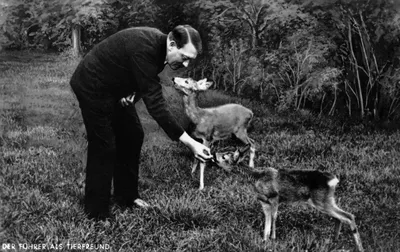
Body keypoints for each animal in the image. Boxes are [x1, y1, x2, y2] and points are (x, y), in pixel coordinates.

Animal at [214, 146, 364, 252]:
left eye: (224, 155)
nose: (214, 154)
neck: (256, 177)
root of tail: (334, 180)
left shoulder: (274, 197)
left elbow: (274, 218)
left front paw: (273, 239)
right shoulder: (264, 202)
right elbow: (266, 223)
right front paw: (264, 241)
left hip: (321, 200)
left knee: (349, 216)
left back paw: (359, 247)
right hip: (326, 200)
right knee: (340, 217)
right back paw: (334, 241)